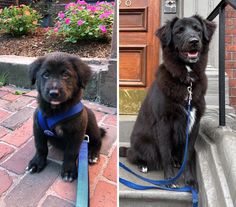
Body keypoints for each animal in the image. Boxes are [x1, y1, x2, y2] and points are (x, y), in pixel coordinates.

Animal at [26, 52, 106, 182]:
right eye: (46, 74)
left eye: (65, 75)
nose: (54, 93)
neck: (56, 111)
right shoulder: (37, 127)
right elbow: (40, 147)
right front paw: (37, 162)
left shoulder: (77, 133)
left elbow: (71, 152)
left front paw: (68, 170)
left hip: (91, 123)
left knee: (97, 140)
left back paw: (93, 155)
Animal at [120, 15, 216, 188]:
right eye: (179, 31)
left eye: (197, 29)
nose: (194, 41)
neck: (187, 82)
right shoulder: (164, 123)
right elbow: (165, 153)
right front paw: (170, 179)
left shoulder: (194, 125)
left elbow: (188, 155)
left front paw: (190, 179)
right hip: (146, 144)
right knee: (135, 155)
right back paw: (143, 165)